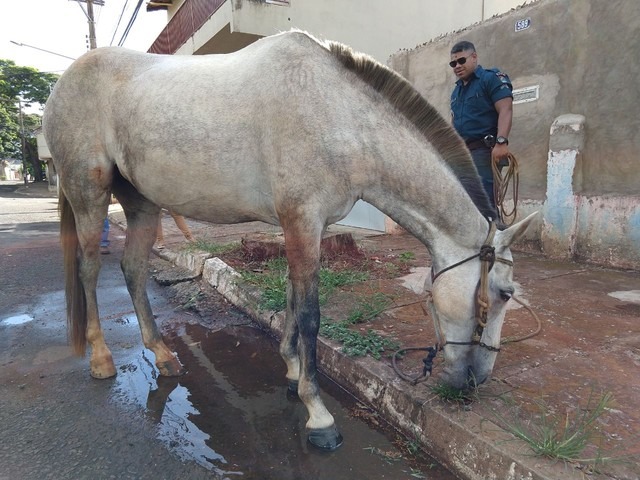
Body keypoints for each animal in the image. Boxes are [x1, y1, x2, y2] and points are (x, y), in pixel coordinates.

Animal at [42, 30, 536, 450]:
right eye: (504, 294)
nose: (475, 381)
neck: (341, 117)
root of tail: (63, 84)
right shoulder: (302, 220)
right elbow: (311, 314)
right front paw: (319, 414)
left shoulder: (304, 226)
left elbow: (293, 301)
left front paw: (293, 370)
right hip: (89, 195)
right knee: (89, 270)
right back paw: (101, 358)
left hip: (143, 204)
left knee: (133, 269)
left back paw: (162, 355)